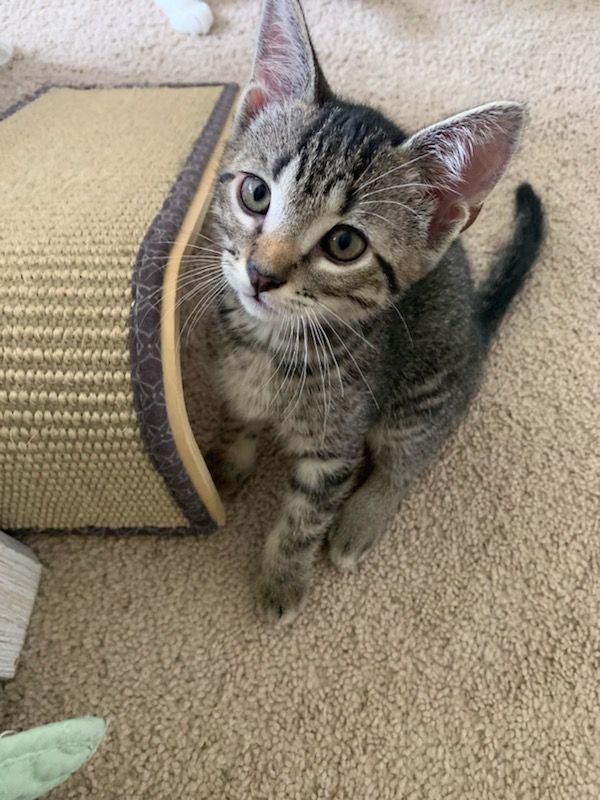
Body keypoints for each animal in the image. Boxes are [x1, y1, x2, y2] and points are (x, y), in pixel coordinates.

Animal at [200, 0, 544, 620]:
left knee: (408, 459)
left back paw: (363, 517)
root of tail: (478, 324)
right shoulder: (235, 385)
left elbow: (306, 514)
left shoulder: (336, 446)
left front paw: (283, 578)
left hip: (423, 394)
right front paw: (225, 465)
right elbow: (238, 423)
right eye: (255, 194)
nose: (261, 274)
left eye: (344, 244)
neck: (269, 344)